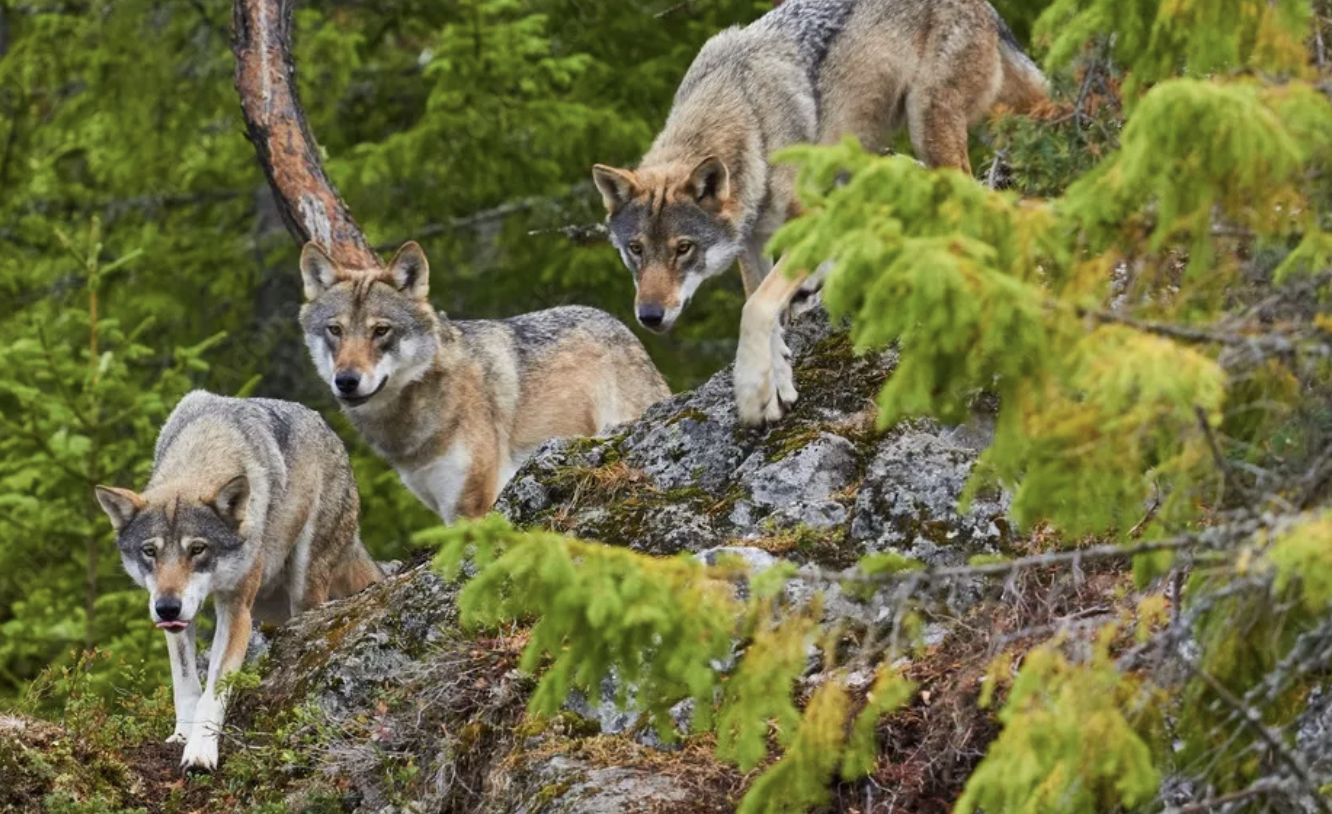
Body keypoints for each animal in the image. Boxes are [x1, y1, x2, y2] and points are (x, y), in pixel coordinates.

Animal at [94, 390, 382, 771]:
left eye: (197, 549)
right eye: (150, 552)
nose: (167, 607)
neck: (206, 446)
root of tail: (334, 436)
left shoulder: (236, 611)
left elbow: (214, 690)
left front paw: (200, 751)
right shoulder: (180, 622)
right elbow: (186, 685)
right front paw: (181, 736)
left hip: (303, 589)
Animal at [298, 241, 670, 522]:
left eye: (380, 331)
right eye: (335, 330)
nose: (346, 380)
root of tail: (618, 324)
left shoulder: (473, 505)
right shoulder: (443, 508)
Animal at [590, 0, 1047, 423]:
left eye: (683, 248)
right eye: (635, 249)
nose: (649, 317)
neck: (748, 119)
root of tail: (985, 7)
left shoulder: (804, 222)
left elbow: (753, 309)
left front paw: (751, 391)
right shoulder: (752, 242)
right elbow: (762, 305)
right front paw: (775, 386)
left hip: (928, 134)